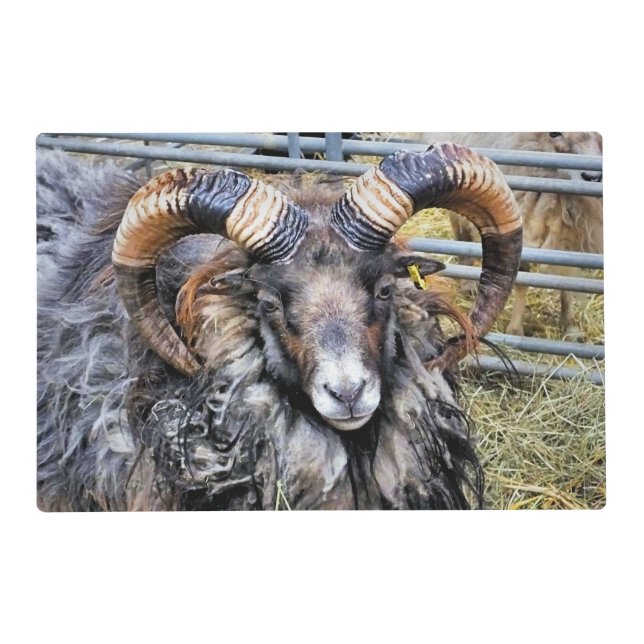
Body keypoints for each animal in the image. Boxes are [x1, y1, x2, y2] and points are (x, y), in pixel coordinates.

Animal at [419, 132, 603, 339]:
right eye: (554, 133)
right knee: (462, 235)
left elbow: (568, 277)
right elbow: (522, 278)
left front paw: (569, 325)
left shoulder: (571, 230)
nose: (593, 177)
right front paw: (515, 329)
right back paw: (468, 284)